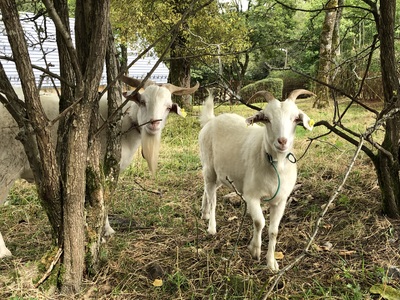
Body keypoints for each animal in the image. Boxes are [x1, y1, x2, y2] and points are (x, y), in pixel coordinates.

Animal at [198, 88, 314, 270]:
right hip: (209, 166)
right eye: (266, 118)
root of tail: (211, 120)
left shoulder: (280, 200)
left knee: (207, 189)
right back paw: (211, 227)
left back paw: (205, 214)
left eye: (296, 118)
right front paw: (255, 250)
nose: (282, 141)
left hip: (222, 174)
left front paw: (272, 263)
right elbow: (259, 222)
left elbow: (274, 230)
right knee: (212, 198)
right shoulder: (251, 195)